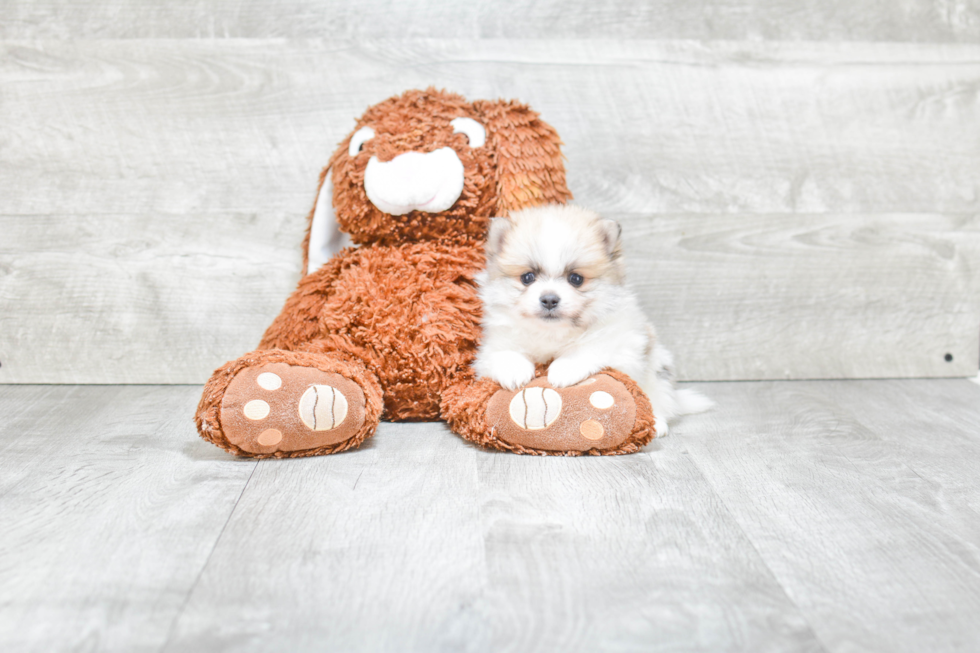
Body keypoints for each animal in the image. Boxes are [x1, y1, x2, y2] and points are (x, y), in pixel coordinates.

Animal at [472, 204, 708, 436]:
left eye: (576, 279)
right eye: (527, 277)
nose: (549, 299)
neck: (553, 333)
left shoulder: (623, 343)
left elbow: (587, 349)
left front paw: (563, 369)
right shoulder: (493, 344)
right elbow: (504, 352)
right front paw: (515, 370)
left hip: (657, 367)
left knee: (659, 398)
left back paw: (657, 422)